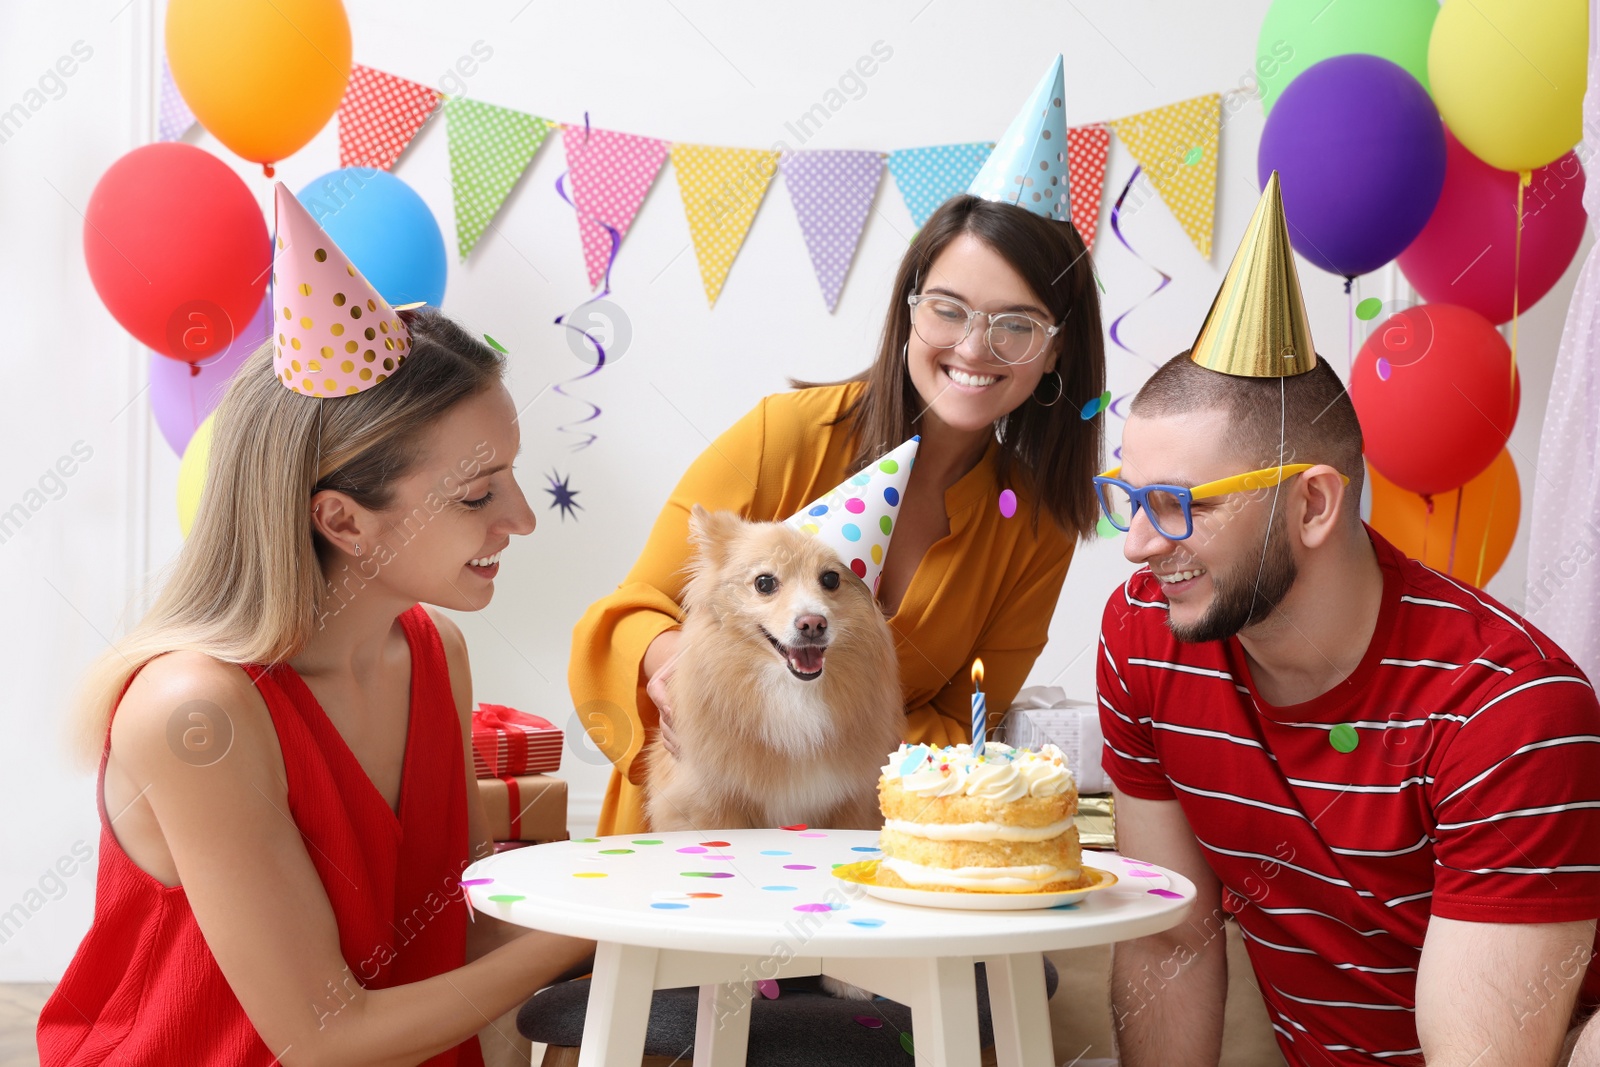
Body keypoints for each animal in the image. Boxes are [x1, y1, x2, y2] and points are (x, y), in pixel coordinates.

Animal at [643, 505, 908, 838]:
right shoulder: (711, 806)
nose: (813, 624)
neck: (793, 693)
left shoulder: (852, 806)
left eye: (831, 578)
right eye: (764, 583)